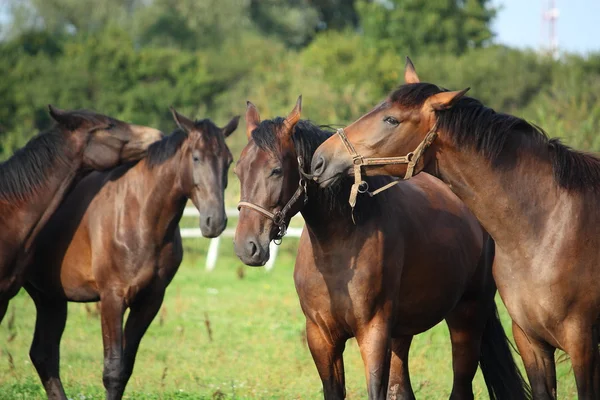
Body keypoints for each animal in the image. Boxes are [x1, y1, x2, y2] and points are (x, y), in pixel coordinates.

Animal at [234, 97, 528, 400]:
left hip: (467, 317)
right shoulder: (321, 337)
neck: (338, 247)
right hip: (403, 333)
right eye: (238, 170)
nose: (247, 247)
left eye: (276, 170)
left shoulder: (373, 334)